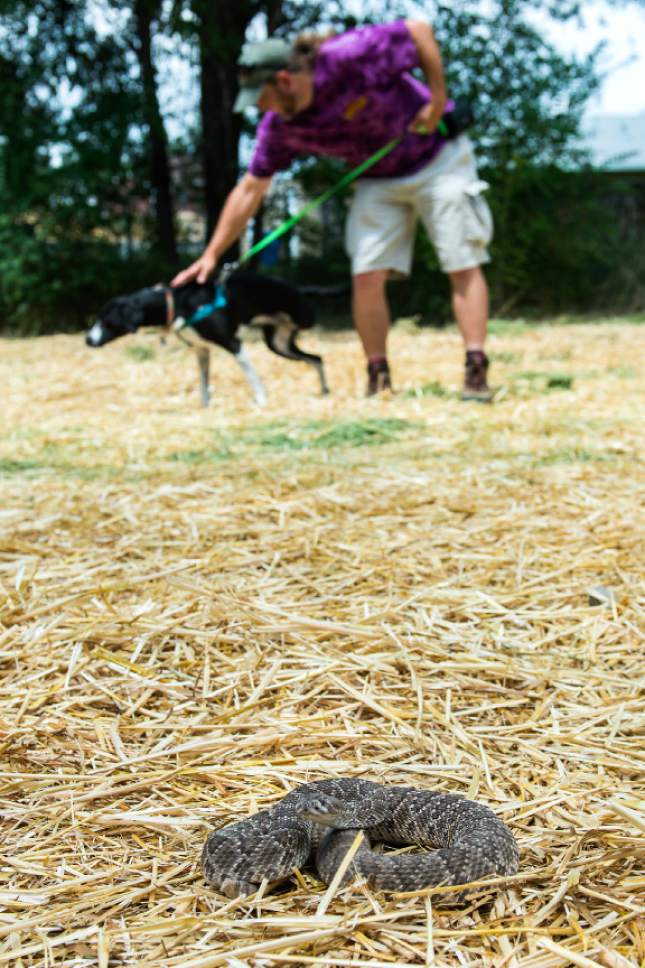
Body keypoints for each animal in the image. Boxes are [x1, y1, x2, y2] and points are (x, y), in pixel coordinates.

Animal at [85, 270, 328, 406]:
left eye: (106, 320)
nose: (87, 340)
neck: (177, 304)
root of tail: (298, 290)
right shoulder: (202, 350)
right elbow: (204, 383)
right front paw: (204, 406)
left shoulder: (234, 344)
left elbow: (252, 376)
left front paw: (262, 400)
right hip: (279, 344)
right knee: (317, 358)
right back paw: (324, 391)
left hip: (296, 327)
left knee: (315, 356)